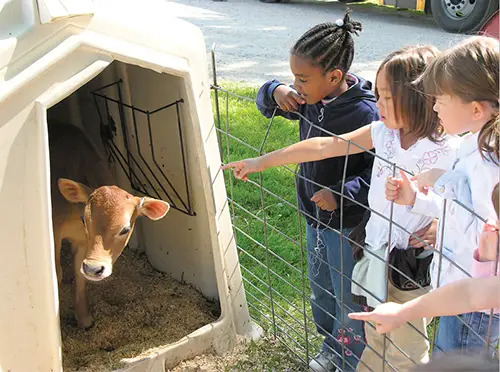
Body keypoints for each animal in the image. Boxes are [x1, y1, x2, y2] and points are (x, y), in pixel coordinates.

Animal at [49, 124, 170, 328]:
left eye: (125, 229)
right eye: (85, 219)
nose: (94, 268)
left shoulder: (84, 245)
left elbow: (80, 276)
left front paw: (84, 318)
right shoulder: (55, 231)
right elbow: (57, 273)